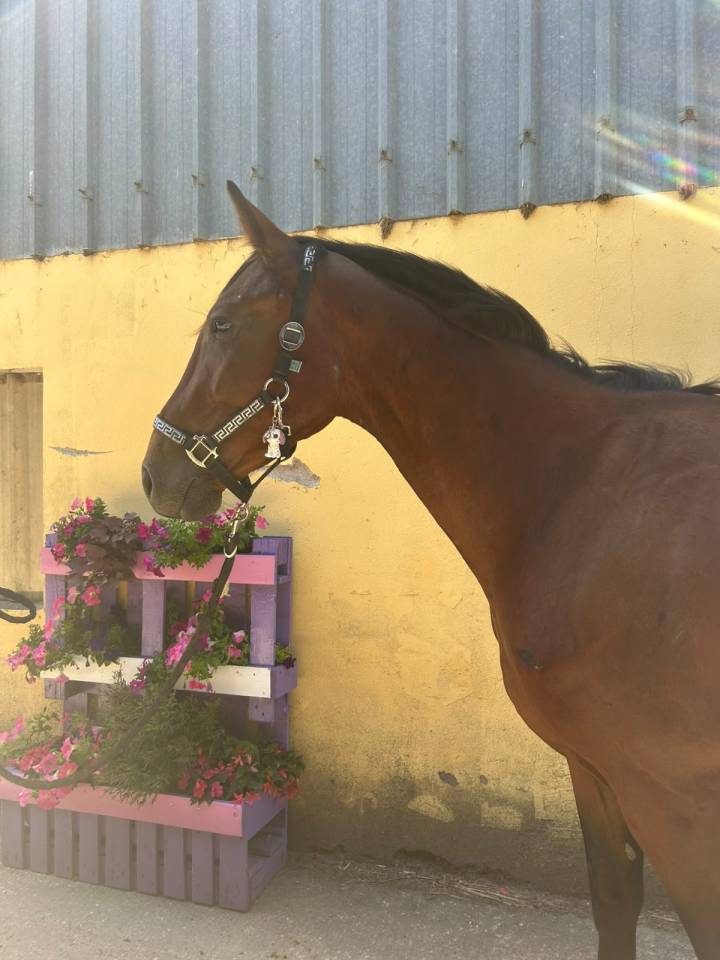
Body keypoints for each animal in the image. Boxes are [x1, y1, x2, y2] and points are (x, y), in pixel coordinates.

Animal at [142, 182, 720, 959]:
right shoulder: (594, 768)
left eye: (223, 324)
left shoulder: (672, 798)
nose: (156, 475)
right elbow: (614, 901)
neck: (583, 490)